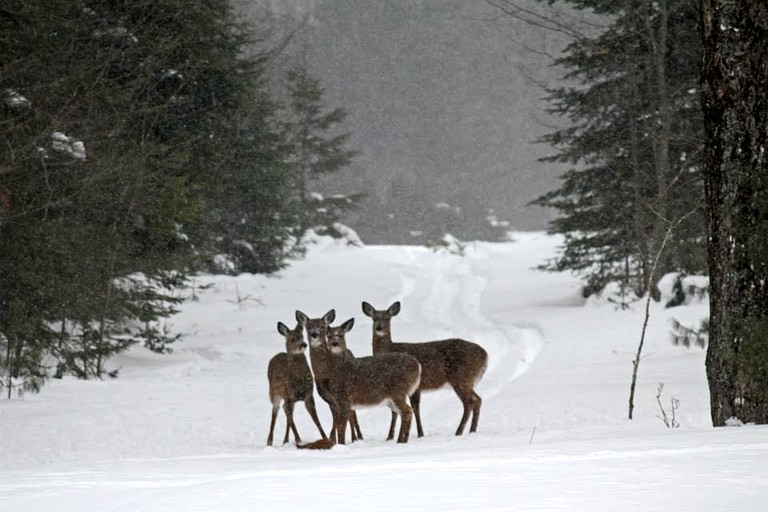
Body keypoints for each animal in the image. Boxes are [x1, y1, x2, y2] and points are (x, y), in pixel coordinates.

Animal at [296, 308, 424, 444]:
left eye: (321, 326)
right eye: (308, 326)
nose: (314, 334)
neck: (330, 369)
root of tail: (417, 365)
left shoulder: (344, 398)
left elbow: (341, 426)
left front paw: (341, 445)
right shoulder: (335, 402)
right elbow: (339, 425)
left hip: (398, 390)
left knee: (407, 411)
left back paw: (400, 441)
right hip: (392, 397)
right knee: (405, 412)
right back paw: (400, 441)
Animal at [362, 302, 492, 438]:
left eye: (388, 318)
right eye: (374, 318)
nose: (379, 328)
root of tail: (485, 355)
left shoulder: (412, 387)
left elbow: (414, 409)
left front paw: (420, 434)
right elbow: (398, 411)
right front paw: (390, 437)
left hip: (461, 378)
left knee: (469, 402)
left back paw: (459, 432)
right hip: (467, 381)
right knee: (478, 400)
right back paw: (472, 430)